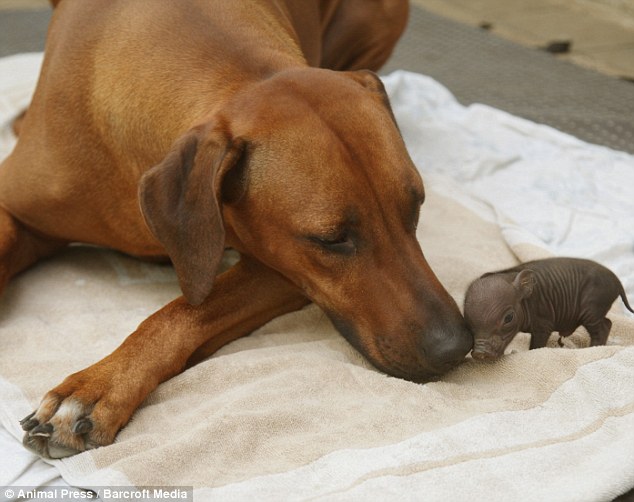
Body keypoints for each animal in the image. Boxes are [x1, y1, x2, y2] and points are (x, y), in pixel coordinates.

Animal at [1, 0, 470, 458]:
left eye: (416, 206)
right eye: (332, 239)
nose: (456, 347)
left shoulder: (284, 269)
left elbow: (184, 311)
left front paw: (97, 387)